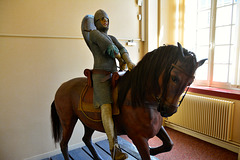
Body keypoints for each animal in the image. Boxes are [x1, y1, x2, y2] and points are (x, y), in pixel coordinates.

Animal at [50, 43, 206, 159]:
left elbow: (169, 144)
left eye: (190, 82)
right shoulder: (139, 139)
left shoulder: (156, 129)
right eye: (174, 77)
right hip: (68, 121)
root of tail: (61, 87)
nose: (169, 110)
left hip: (88, 122)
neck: (141, 99)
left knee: (86, 139)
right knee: (64, 144)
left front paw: (153, 150)